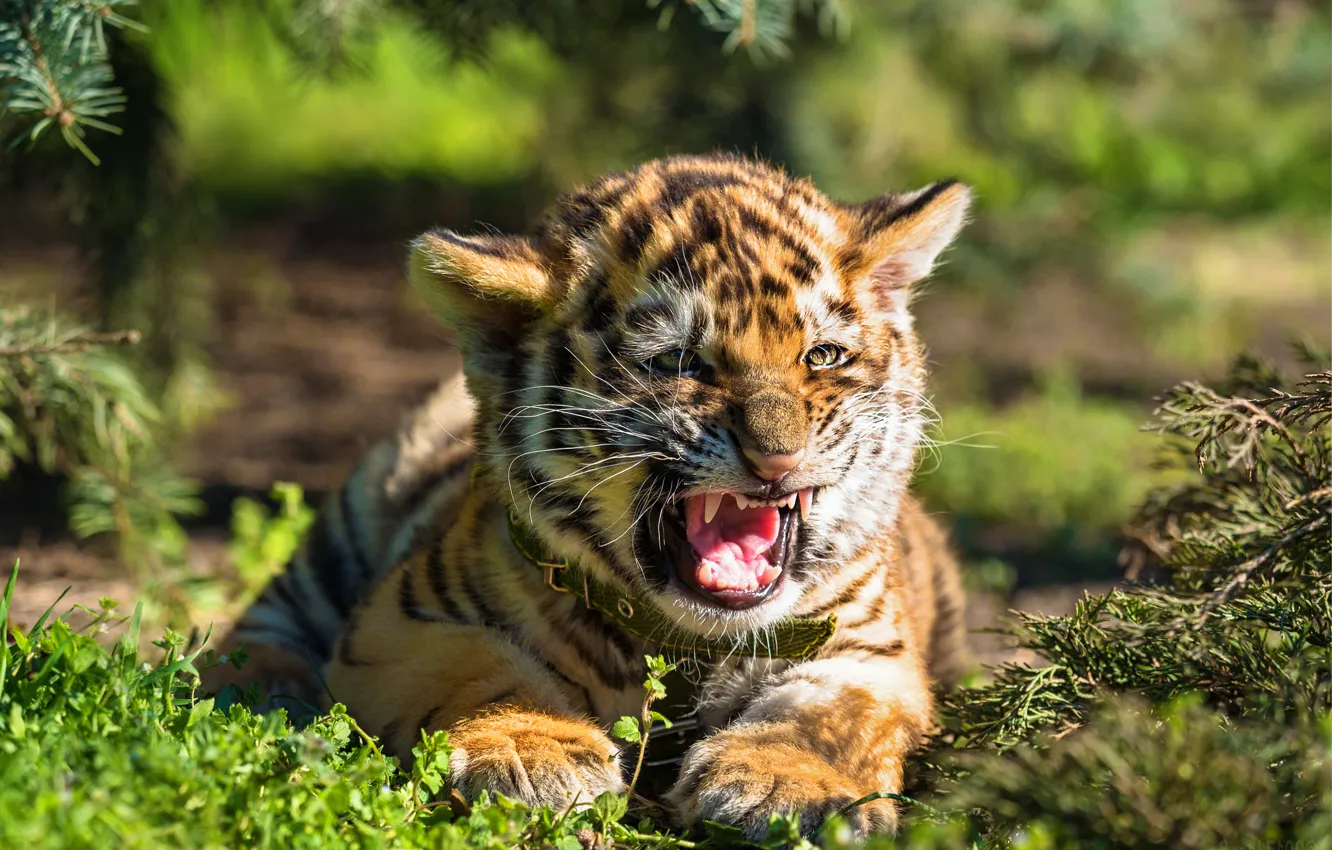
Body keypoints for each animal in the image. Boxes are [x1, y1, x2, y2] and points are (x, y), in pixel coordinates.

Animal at [207, 153, 972, 839]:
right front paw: (532, 753)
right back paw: (259, 693)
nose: (777, 460)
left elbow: (829, 718)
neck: (686, 643)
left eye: (822, 357)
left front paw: (788, 789)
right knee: (258, 626)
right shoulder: (406, 619)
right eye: (678, 362)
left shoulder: (873, 652)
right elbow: (486, 667)